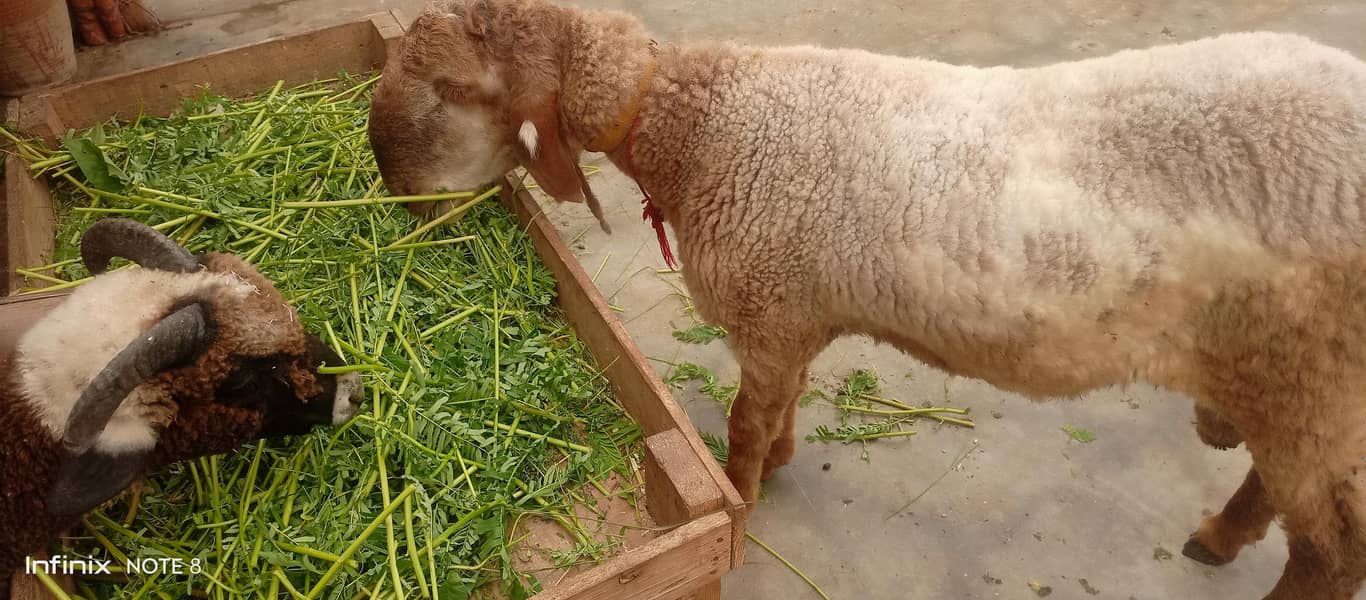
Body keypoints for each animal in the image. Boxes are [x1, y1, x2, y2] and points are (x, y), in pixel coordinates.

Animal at [366, 1, 1366, 597]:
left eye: (450, 87)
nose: (393, 195)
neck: (702, 119)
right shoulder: (797, 309)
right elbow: (785, 403)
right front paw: (782, 461)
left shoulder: (768, 306)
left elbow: (745, 420)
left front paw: (744, 495)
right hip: (1290, 373)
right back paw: (1221, 534)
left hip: (1308, 364)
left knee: (1332, 548)